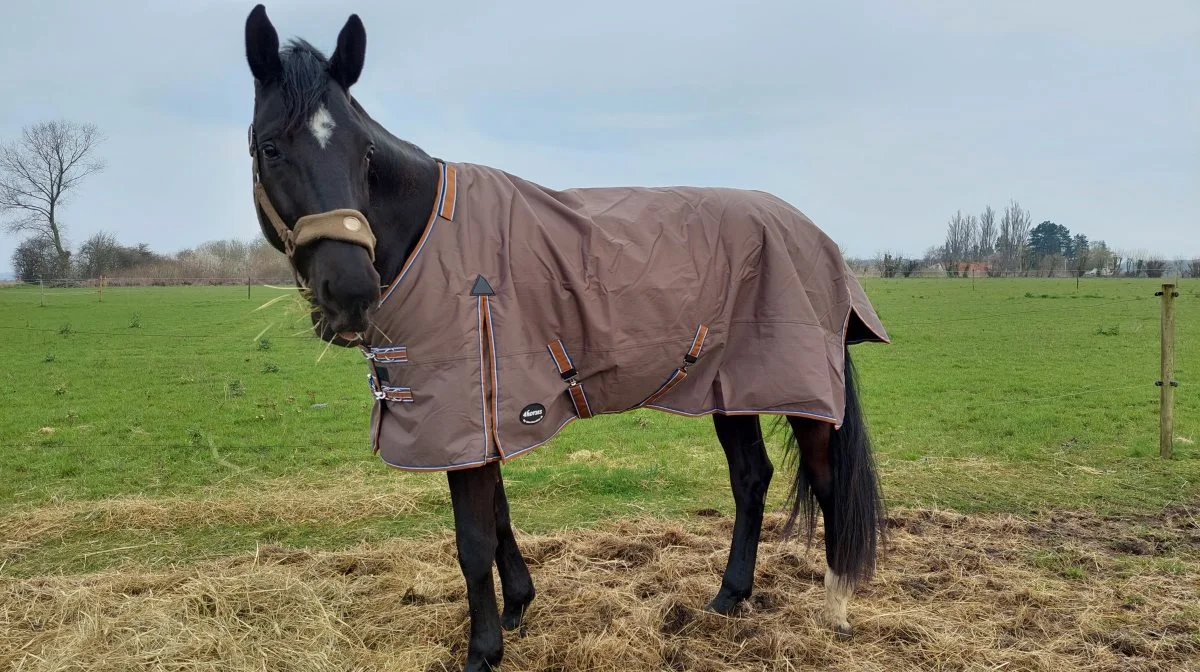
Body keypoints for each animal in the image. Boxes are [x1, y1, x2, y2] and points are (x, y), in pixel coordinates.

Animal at [241, 6, 883, 672]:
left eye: (364, 152)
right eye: (270, 147)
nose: (349, 292)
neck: (432, 234)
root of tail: (816, 235)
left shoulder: (467, 414)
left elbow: (472, 540)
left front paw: (483, 650)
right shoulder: (484, 420)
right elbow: (498, 519)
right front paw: (519, 608)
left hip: (802, 393)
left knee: (829, 484)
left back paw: (835, 610)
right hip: (730, 389)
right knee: (750, 479)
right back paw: (730, 597)